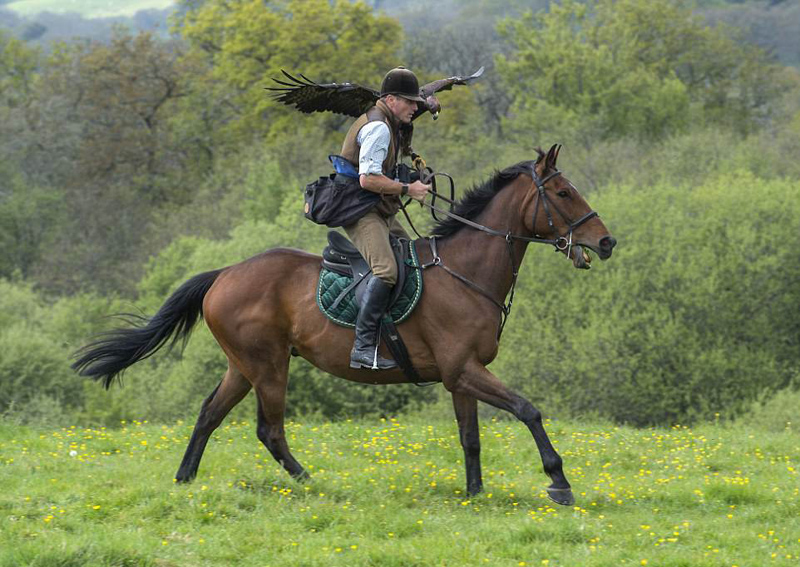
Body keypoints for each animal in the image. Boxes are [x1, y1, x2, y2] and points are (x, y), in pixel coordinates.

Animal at [72, 144, 616, 508]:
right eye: (563, 192)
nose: (607, 242)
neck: (466, 273)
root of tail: (224, 273)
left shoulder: (461, 375)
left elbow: (471, 438)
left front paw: (476, 494)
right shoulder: (464, 369)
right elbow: (528, 410)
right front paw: (559, 481)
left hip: (242, 366)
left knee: (209, 414)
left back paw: (185, 480)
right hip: (267, 366)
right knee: (269, 429)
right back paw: (311, 482)